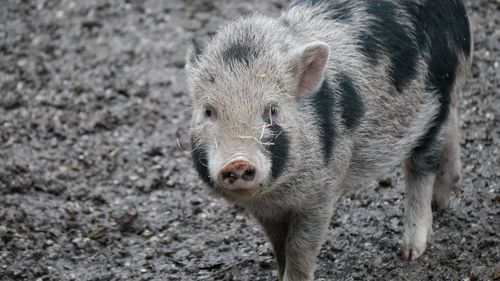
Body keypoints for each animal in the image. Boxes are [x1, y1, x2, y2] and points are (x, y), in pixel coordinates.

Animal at [185, 0, 472, 278]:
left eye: (272, 110)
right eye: (208, 111)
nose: (237, 161)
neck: (278, 193)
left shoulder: (322, 192)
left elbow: (300, 250)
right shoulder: (267, 211)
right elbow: (279, 247)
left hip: (436, 102)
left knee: (421, 168)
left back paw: (411, 252)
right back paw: (442, 203)